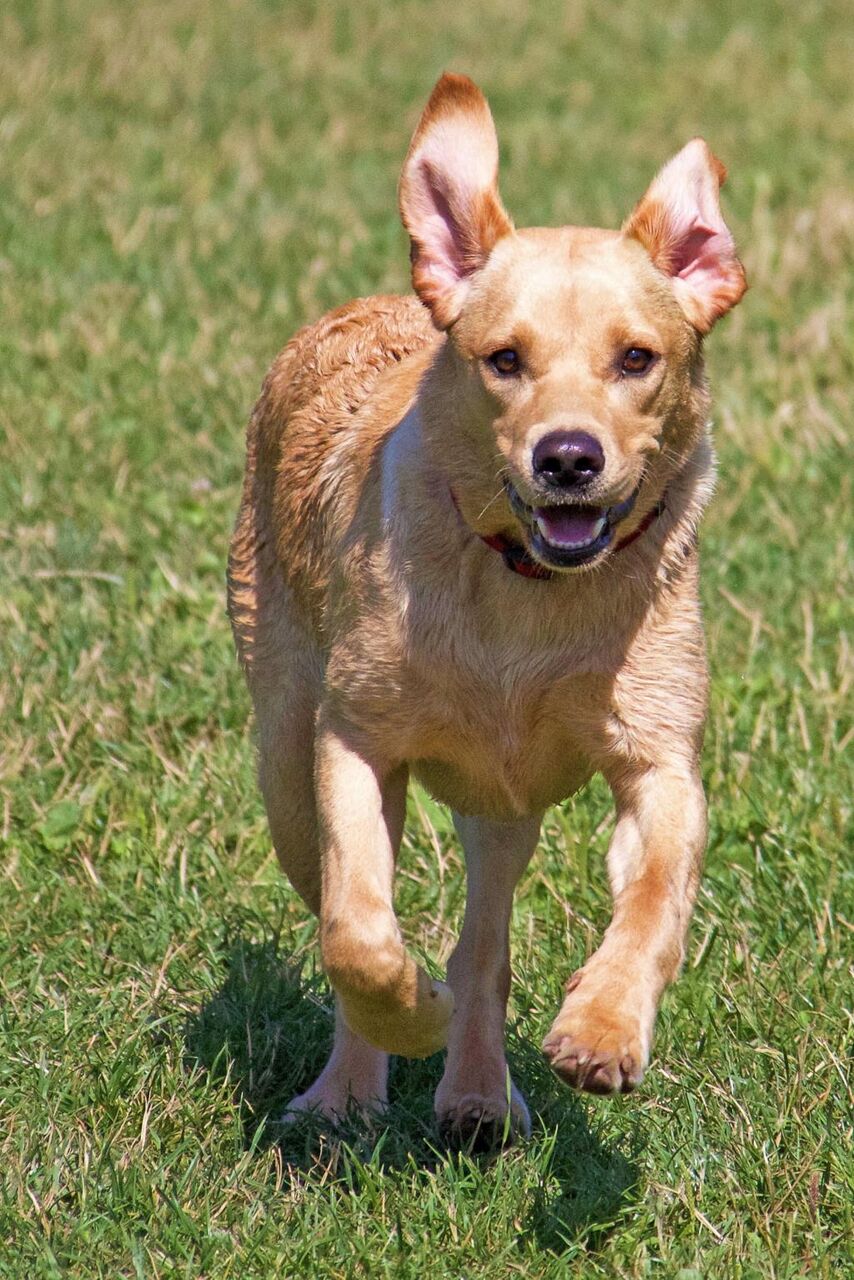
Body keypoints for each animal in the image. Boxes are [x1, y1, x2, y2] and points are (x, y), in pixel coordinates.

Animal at [230, 74, 742, 1146]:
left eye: (638, 359)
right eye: (505, 360)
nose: (569, 458)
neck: (524, 595)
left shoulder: (660, 759)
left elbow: (654, 902)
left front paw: (602, 1030)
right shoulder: (354, 740)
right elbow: (356, 930)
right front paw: (404, 1015)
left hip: (503, 809)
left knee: (485, 941)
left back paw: (475, 1092)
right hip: (284, 750)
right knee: (338, 900)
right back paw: (346, 1094)